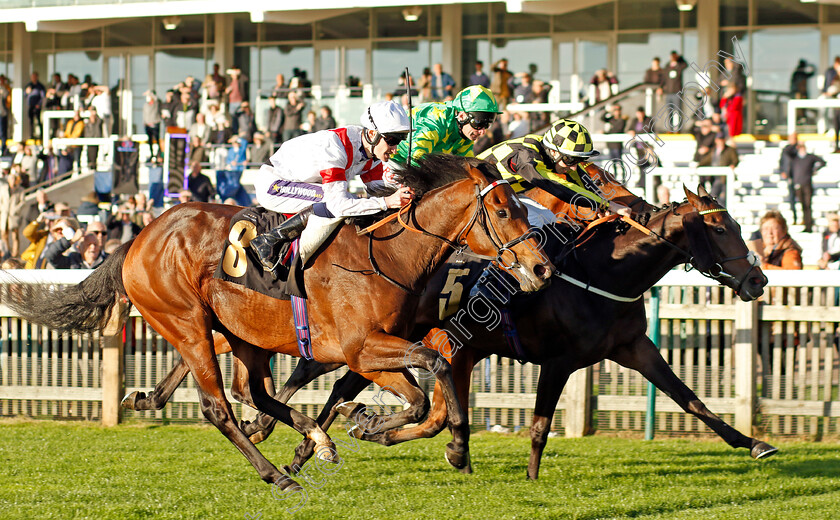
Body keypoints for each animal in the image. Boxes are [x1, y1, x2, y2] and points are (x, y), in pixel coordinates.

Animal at [11, 154, 556, 488]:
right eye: (503, 210)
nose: (541, 268)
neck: (390, 256)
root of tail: (140, 235)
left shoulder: (368, 351)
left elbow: (422, 388)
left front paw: (371, 425)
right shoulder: (363, 347)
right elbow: (426, 386)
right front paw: (387, 427)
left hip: (241, 332)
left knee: (254, 392)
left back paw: (311, 439)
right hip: (188, 324)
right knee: (219, 407)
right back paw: (278, 474)